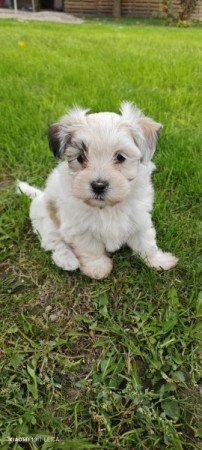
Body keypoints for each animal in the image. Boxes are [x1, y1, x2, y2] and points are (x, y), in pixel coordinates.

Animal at [17, 102, 178, 278]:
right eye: (80, 158)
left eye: (120, 157)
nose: (99, 185)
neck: (107, 207)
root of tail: (39, 196)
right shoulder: (79, 227)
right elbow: (90, 248)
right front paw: (97, 268)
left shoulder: (139, 217)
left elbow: (146, 241)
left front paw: (158, 261)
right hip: (46, 221)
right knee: (54, 242)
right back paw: (67, 260)